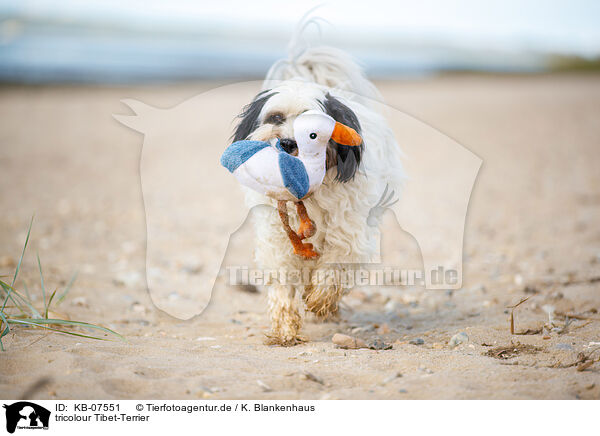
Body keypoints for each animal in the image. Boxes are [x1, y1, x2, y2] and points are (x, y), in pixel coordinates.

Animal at [234, 20, 404, 346]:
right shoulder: (277, 236)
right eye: (275, 118)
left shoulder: (348, 229)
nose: (288, 143)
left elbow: (336, 263)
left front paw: (320, 299)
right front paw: (284, 328)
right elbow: (283, 279)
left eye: (312, 128)